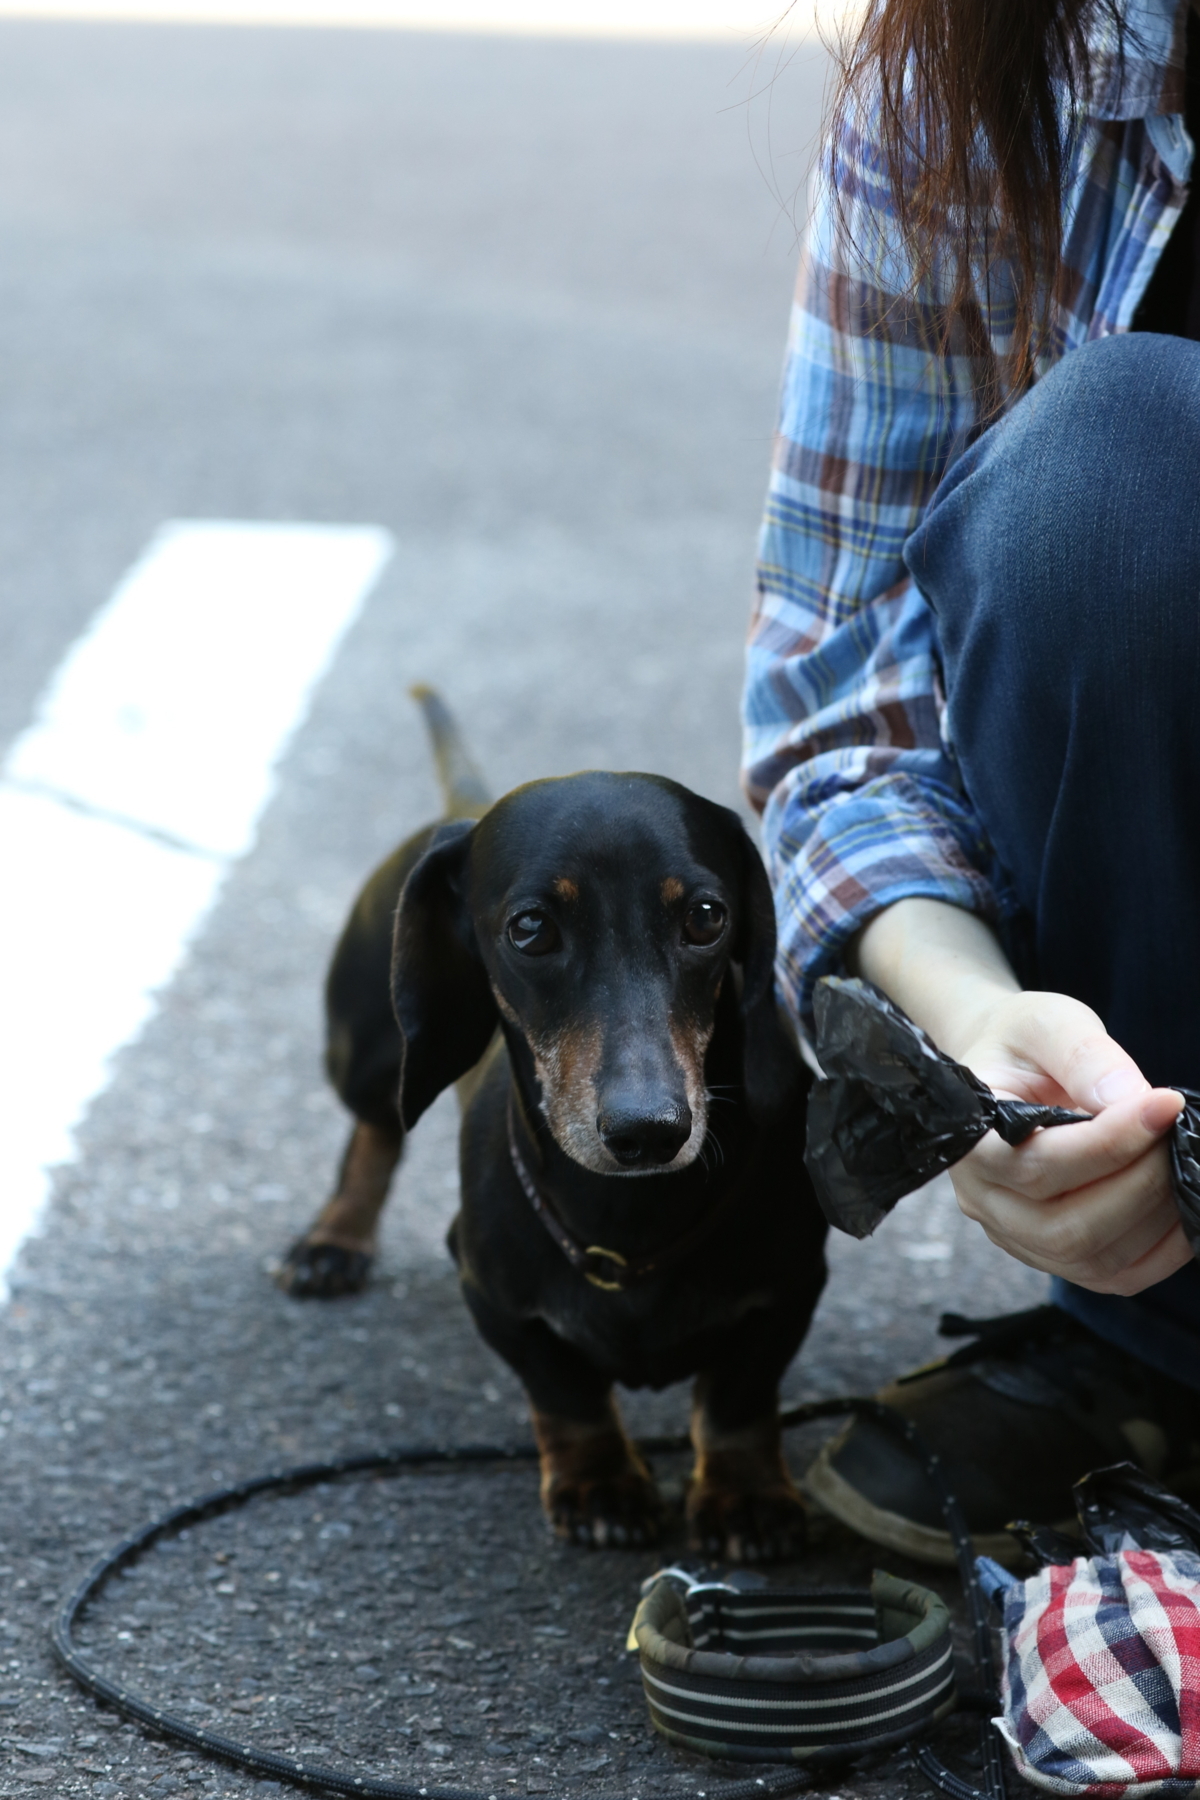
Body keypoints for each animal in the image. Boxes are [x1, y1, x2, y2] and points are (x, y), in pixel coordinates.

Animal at [278, 687, 831, 1562]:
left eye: (707, 918)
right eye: (531, 928)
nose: (649, 1131)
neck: (629, 1215)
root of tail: (463, 811)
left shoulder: (790, 1289)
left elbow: (739, 1397)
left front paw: (744, 1495)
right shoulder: (491, 1293)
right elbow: (565, 1392)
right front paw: (598, 1482)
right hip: (365, 1051)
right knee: (375, 1129)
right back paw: (335, 1240)